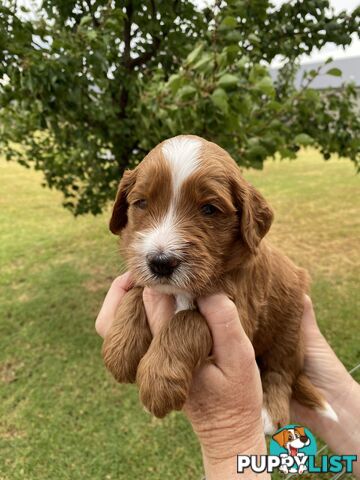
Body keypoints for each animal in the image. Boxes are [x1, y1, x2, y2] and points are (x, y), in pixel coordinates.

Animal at [103, 134, 338, 432]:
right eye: (141, 203)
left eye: (209, 209)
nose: (160, 262)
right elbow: (136, 292)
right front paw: (119, 347)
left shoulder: (240, 312)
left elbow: (188, 321)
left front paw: (158, 380)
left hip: (288, 333)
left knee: (280, 372)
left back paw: (270, 412)